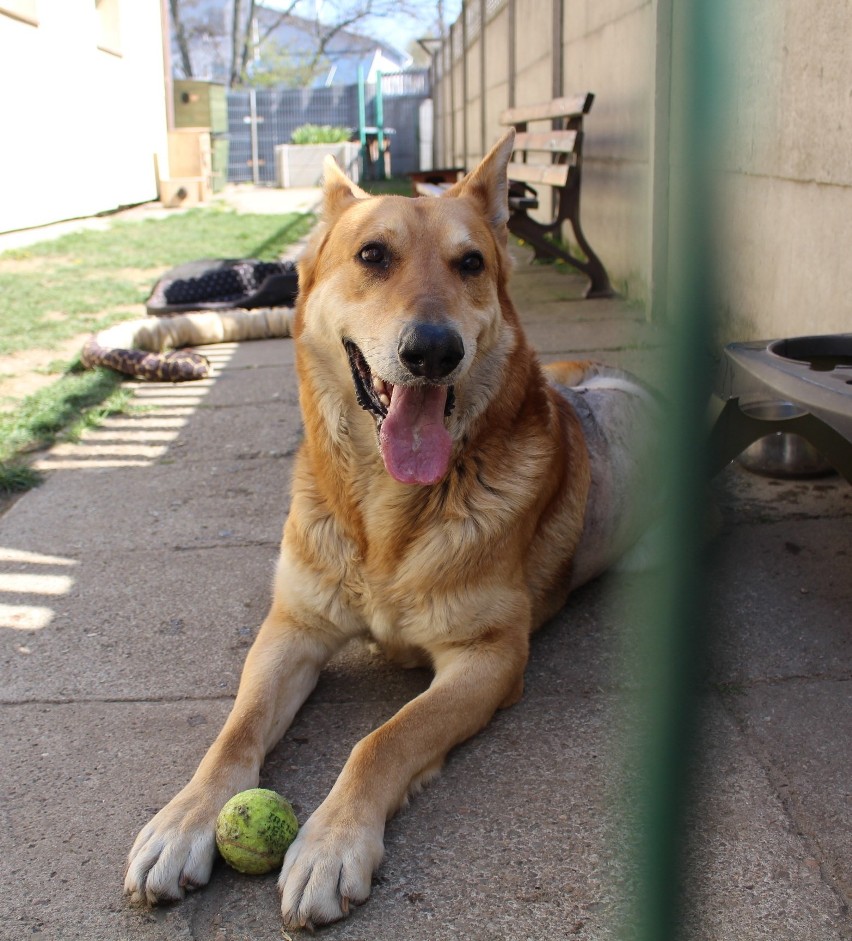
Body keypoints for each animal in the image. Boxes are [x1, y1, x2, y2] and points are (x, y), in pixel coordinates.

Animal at [125, 130, 660, 924]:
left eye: (470, 264)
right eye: (373, 255)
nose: (433, 351)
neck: (385, 510)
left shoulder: (489, 658)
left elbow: (383, 739)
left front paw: (330, 841)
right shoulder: (291, 629)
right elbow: (234, 732)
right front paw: (183, 819)